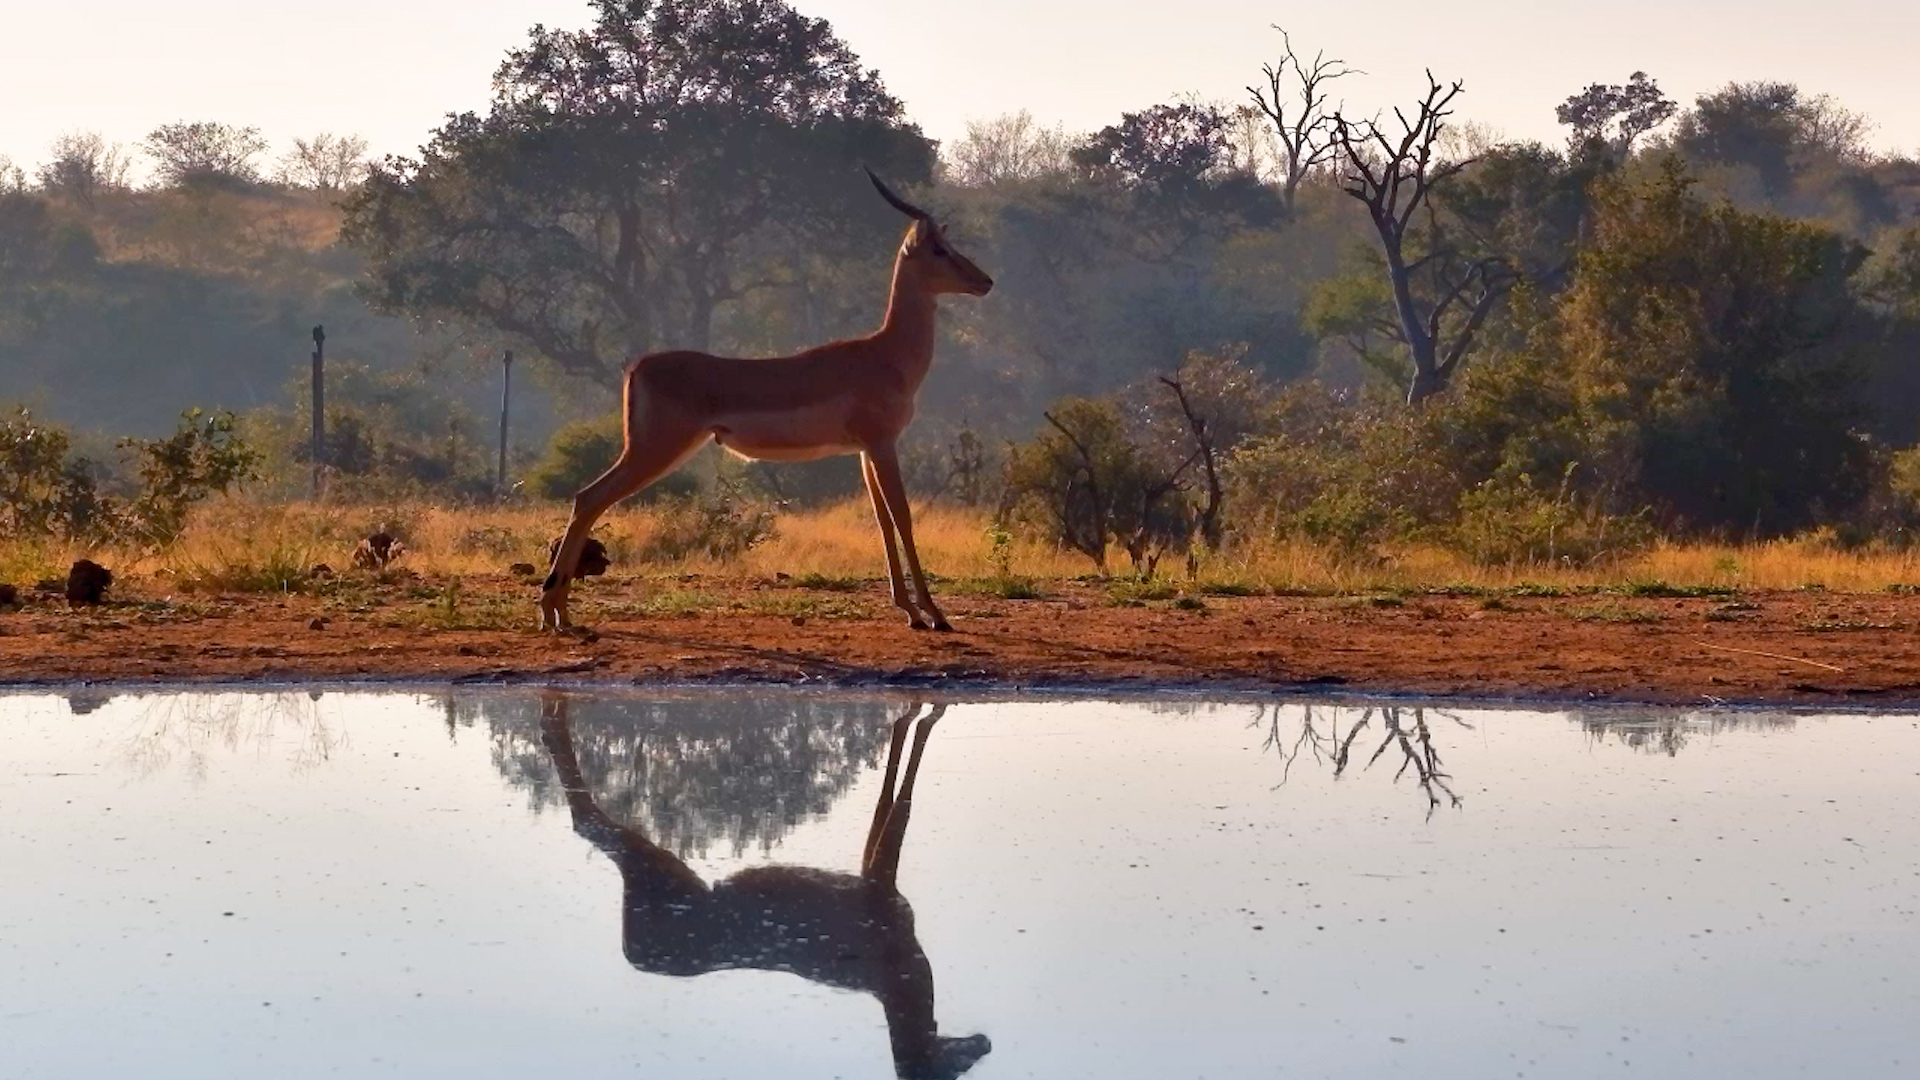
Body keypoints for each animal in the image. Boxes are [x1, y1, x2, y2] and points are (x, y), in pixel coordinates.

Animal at [538, 695, 991, 1080]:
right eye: (952, 1071)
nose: (983, 1043)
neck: (899, 977)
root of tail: (632, 951)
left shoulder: (871, 874)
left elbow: (886, 793)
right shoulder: (883, 889)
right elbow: (904, 800)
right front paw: (928, 708)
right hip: (658, 875)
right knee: (589, 821)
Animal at [539, 171, 994, 632]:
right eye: (939, 249)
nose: (985, 281)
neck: (887, 353)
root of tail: (636, 367)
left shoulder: (865, 450)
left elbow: (882, 519)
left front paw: (910, 610)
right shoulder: (883, 443)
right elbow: (902, 516)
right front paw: (935, 614)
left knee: (587, 498)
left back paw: (558, 613)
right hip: (655, 449)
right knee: (589, 497)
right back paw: (554, 609)